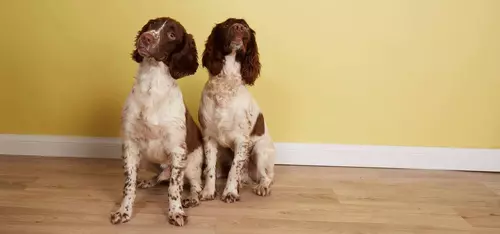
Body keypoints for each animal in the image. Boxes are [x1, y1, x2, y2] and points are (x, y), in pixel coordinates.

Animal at [110, 16, 203, 227]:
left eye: (172, 34)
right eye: (151, 25)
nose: (146, 38)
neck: (152, 85)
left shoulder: (178, 150)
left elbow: (174, 188)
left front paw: (176, 212)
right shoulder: (130, 145)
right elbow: (129, 185)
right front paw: (123, 211)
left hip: (192, 164)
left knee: (196, 186)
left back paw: (192, 199)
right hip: (147, 159)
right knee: (161, 176)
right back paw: (149, 181)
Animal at [198, 18, 278, 203]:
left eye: (246, 28)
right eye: (226, 25)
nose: (239, 28)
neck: (226, 81)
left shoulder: (242, 140)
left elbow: (234, 169)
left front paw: (230, 192)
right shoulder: (209, 137)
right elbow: (210, 168)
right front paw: (208, 191)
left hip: (259, 152)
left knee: (267, 177)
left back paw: (260, 186)